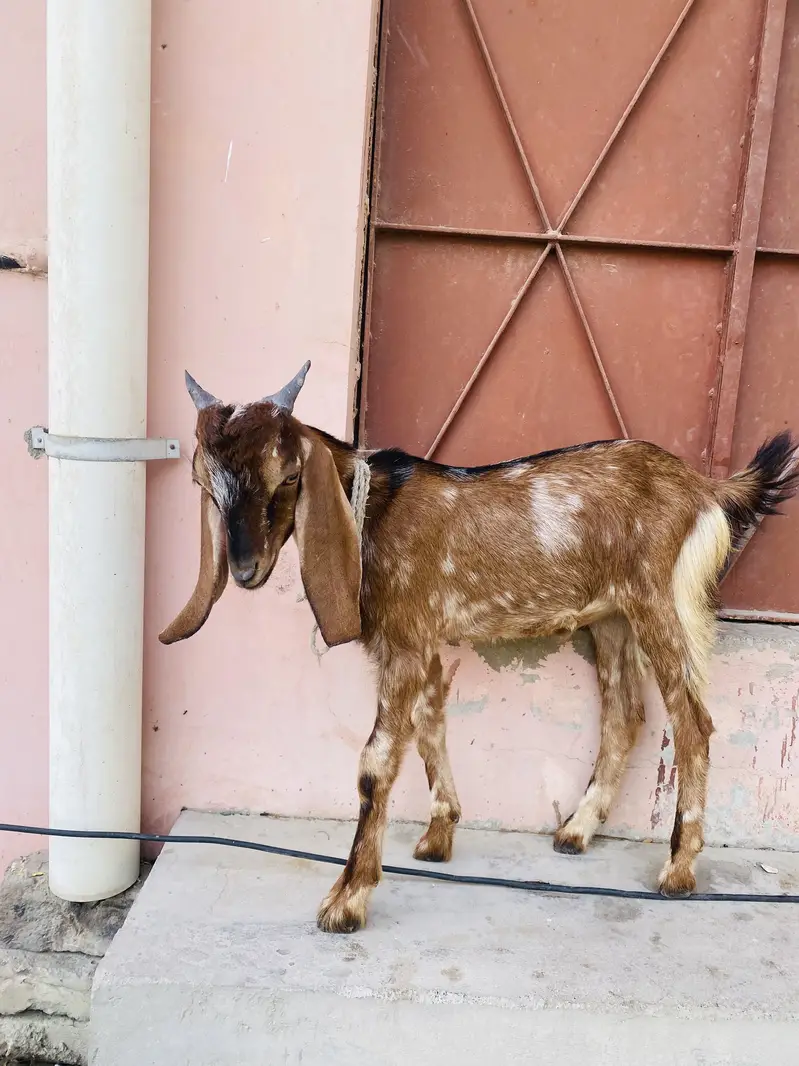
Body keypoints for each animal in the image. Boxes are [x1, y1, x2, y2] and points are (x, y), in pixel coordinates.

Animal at [160, 361, 799, 933]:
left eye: (289, 476)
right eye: (206, 484)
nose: (244, 570)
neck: (370, 513)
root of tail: (705, 489)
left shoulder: (406, 638)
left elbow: (376, 762)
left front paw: (346, 901)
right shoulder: (415, 639)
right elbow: (430, 725)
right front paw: (438, 836)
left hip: (661, 603)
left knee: (693, 723)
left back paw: (678, 870)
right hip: (613, 617)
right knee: (626, 713)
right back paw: (576, 831)